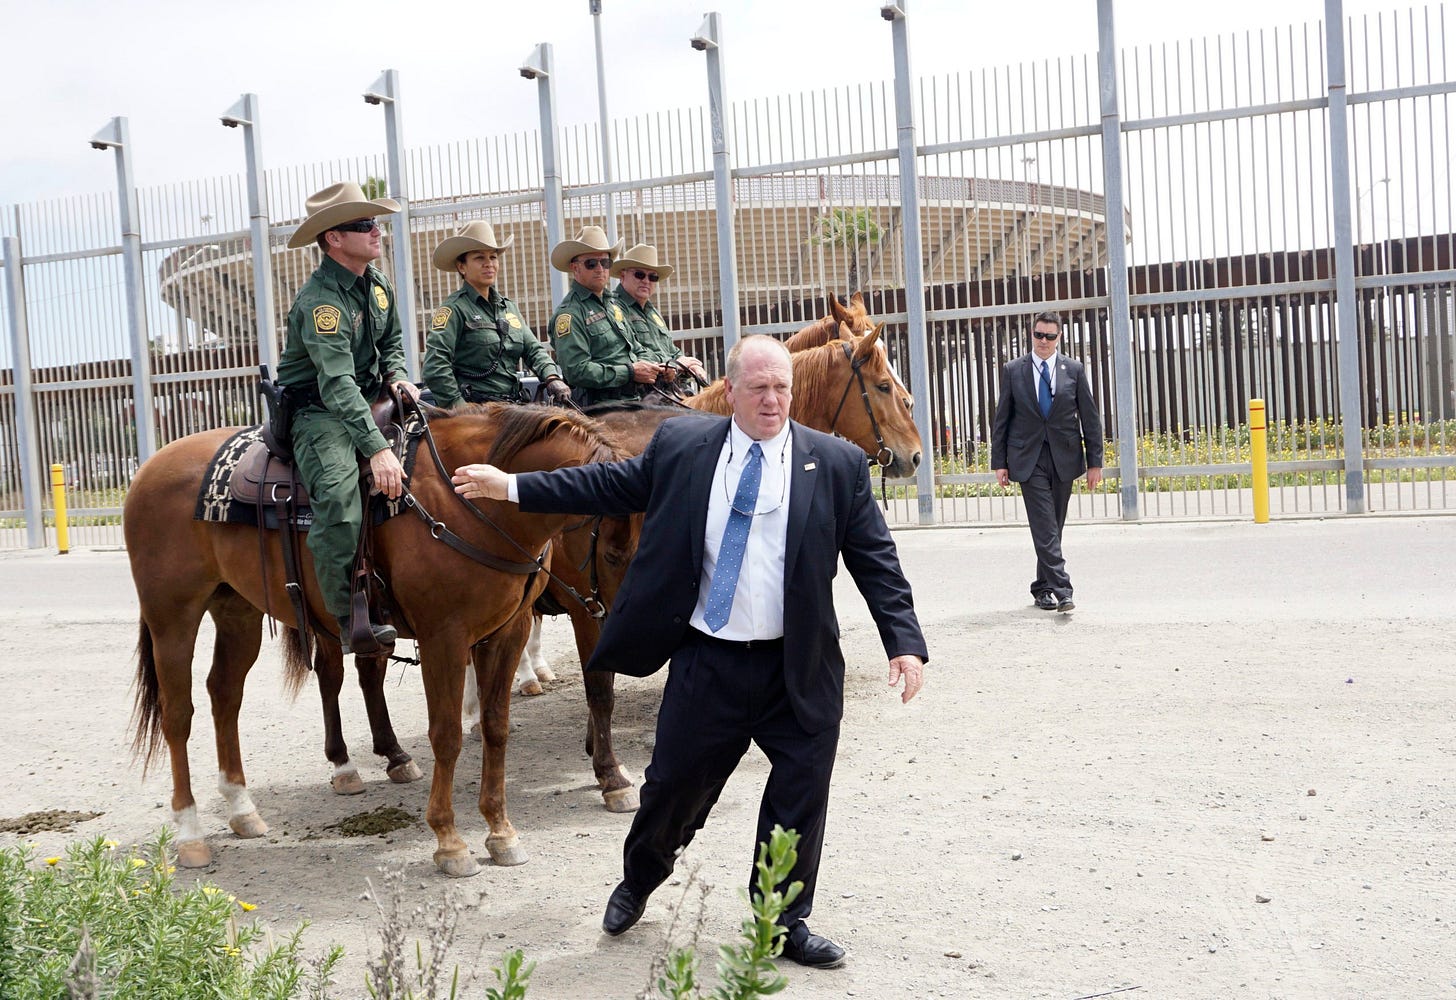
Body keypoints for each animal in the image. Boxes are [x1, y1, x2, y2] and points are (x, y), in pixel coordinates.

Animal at [125, 401, 620, 873]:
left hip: (237, 611)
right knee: (177, 714)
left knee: (225, 695)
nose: (616, 620)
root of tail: (150, 466)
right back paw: (190, 833)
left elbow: (496, 729)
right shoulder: (444, 638)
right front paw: (449, 841)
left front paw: (501, 832)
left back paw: (242, 808)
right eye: (614, 551)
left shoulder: (505, 634)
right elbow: (446, 735)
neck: (469, 504)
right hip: (173, 618)